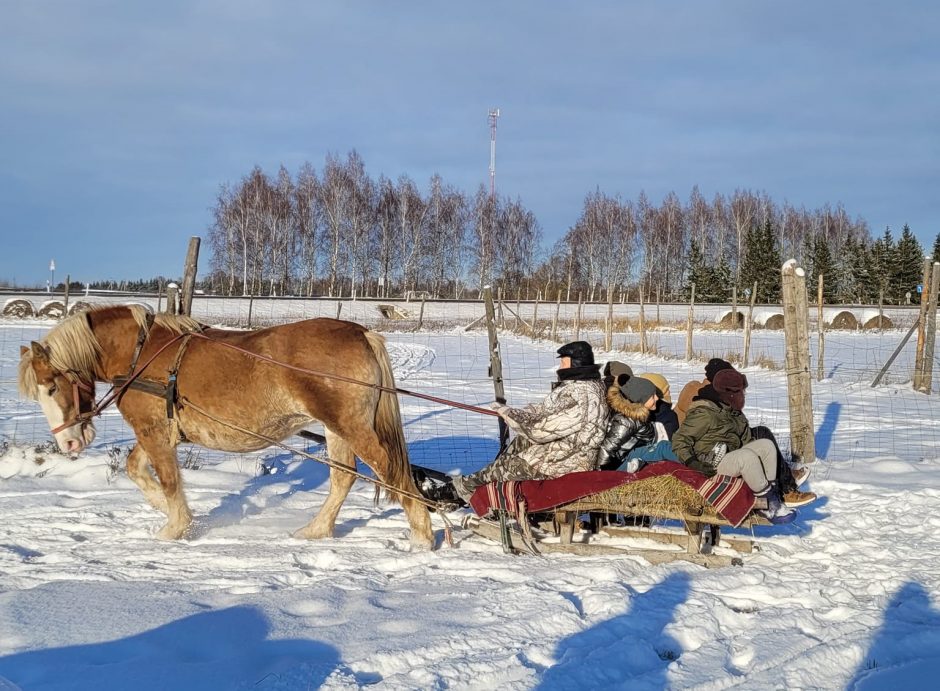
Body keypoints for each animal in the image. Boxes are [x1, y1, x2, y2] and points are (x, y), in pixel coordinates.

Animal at [15, 306, 434, 548]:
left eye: (51, 386)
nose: (69, 444)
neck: (140, 353)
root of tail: (361, 332)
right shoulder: (157, 432)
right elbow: (137, 471)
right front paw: (168, 510)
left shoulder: (153, 432)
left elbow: (169, 481)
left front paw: (175, 528)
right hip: (335, 428)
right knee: (343, 477)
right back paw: (315, 530)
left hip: (351, 426)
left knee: (393, 473)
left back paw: (422, 535)